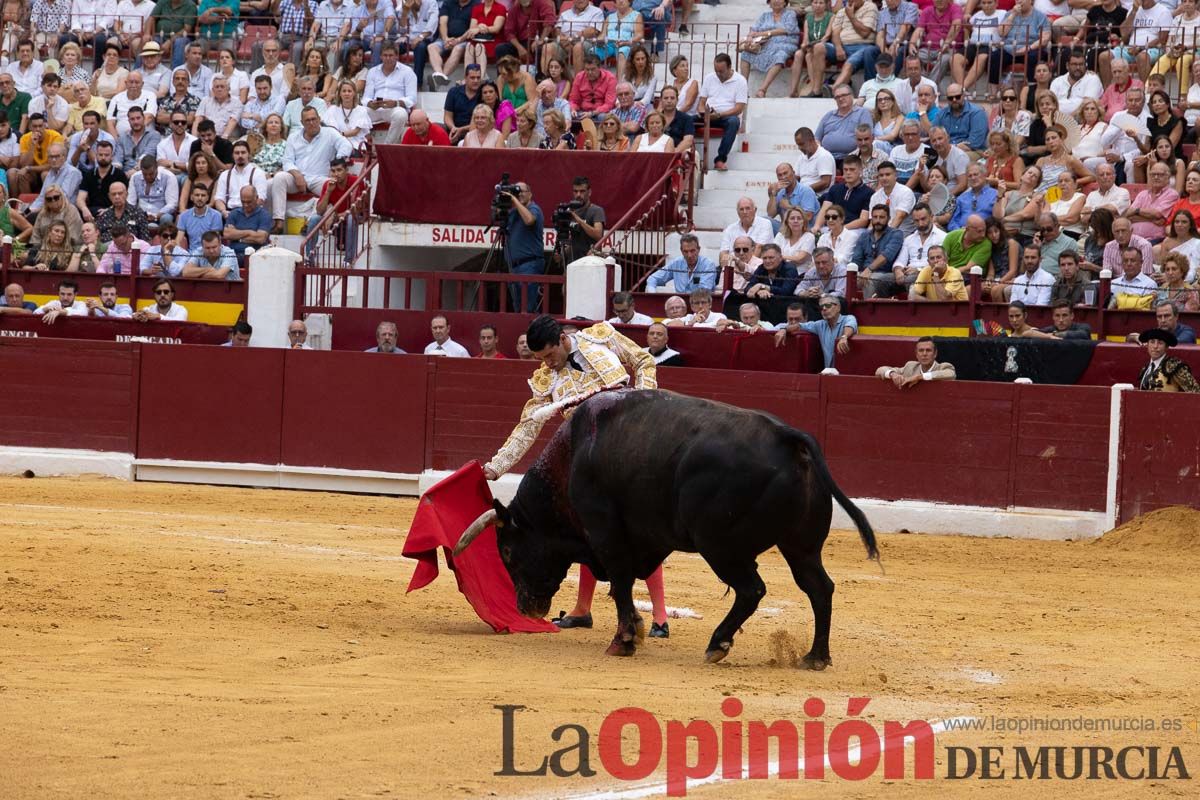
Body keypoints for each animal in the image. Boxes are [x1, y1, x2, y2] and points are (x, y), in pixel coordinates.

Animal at [453, 391, 878, 666]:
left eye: (508, 551)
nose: (526, 608)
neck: (571, 458)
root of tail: (789, 439)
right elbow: (622, 583)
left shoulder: (604, 533)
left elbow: (621, 583)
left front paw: (624, 640)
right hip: (800, 545)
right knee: (819, 587)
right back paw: (815, 656)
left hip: (719, 546)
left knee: (752, 589)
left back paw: (718, 644)